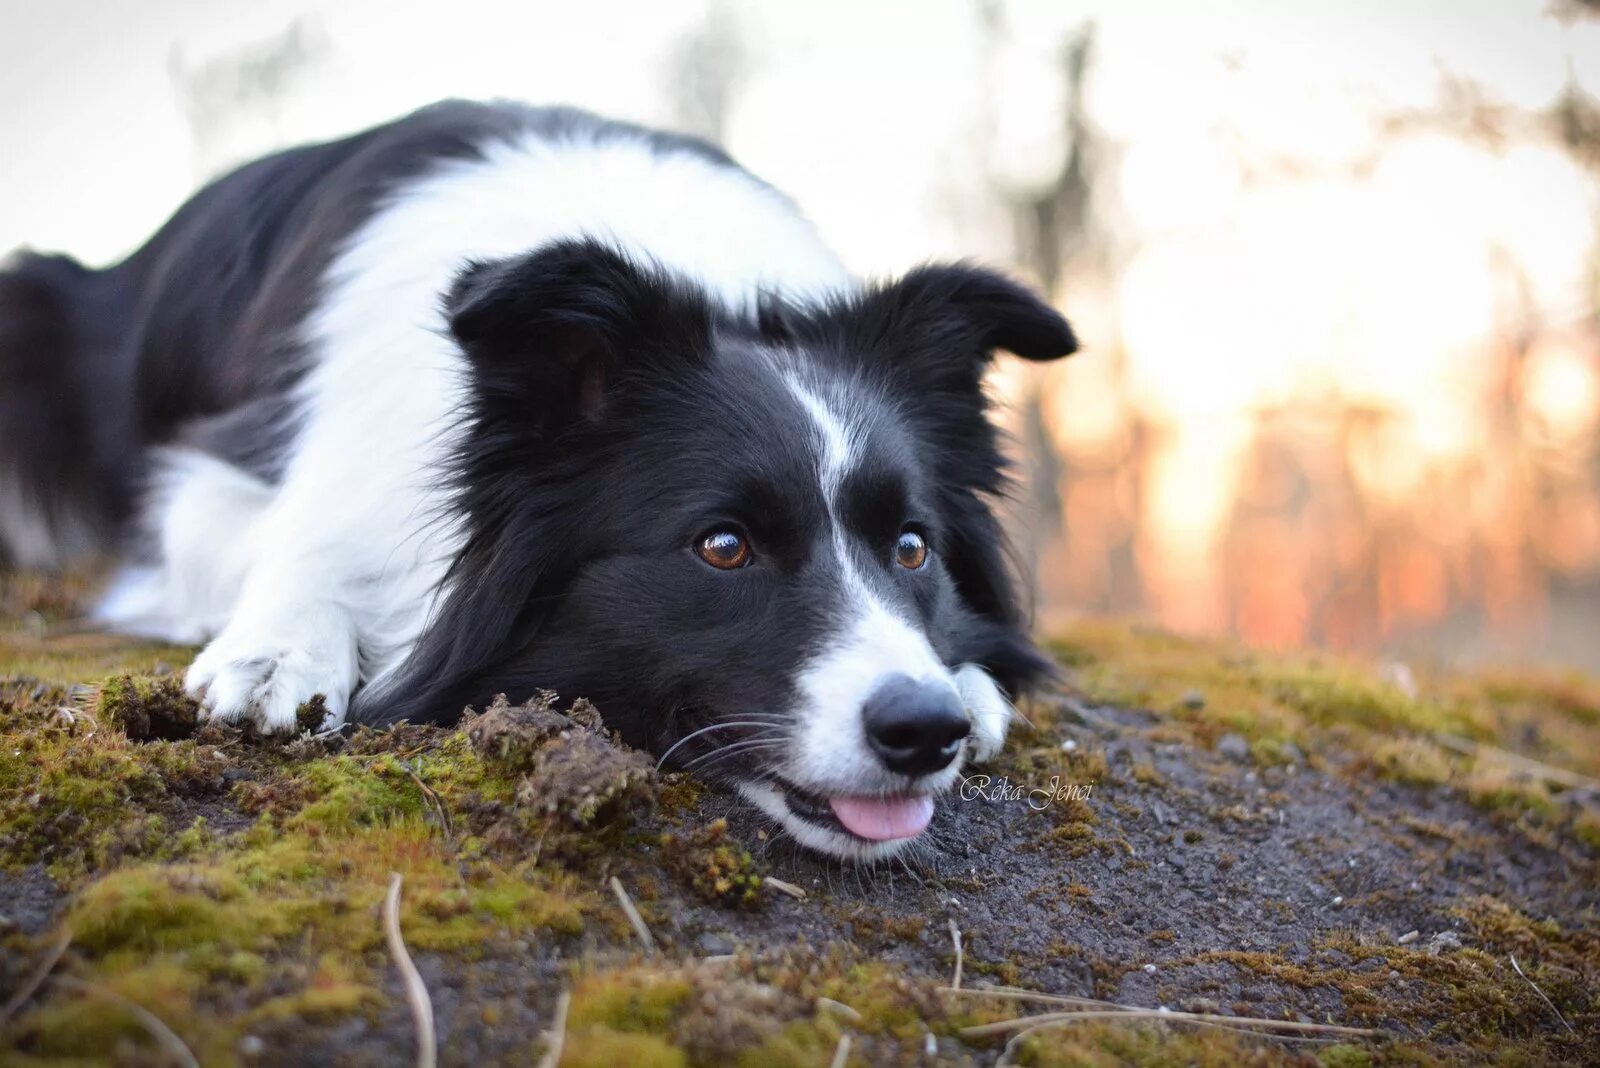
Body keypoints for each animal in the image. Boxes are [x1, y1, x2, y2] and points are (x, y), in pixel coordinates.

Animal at [0, 102, 1081, 856]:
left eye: (912, 548)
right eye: (722, 547)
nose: (925, 728)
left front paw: (973, 681)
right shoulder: (215, 471)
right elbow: (296, 539)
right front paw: (277, 655)